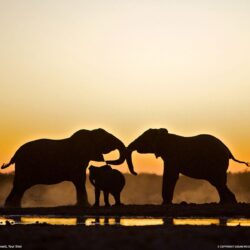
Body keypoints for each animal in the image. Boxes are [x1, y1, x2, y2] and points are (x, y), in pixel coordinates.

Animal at [1, 128, 137, 208]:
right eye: (106, 139)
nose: (108, 161)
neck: (90, 133)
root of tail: (16, 154)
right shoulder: (77, 159)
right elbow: (79, 179)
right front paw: (85, 206)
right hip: (25, 166)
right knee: (20, 185)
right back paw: (11, 206)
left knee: (20, 186)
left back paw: (12, 206)